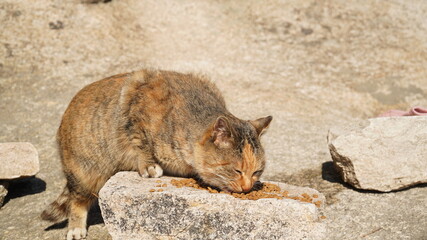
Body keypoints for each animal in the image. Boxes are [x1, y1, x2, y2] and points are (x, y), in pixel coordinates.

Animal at [41, 69, 272, 240]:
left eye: (257, 172)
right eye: (237, 170)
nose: (247, 187)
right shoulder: (135, 97)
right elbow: (139, 142)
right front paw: (149, 164)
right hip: (86, 172)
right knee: (77, 199)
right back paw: (76, 228)